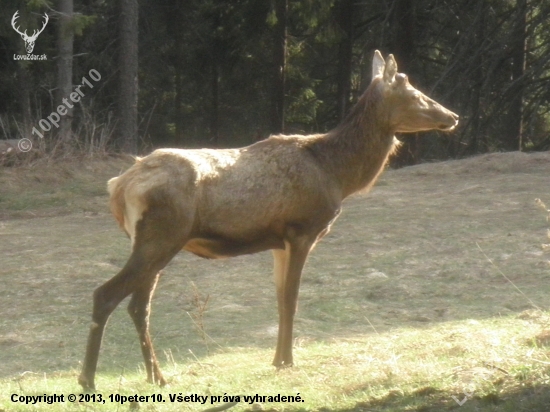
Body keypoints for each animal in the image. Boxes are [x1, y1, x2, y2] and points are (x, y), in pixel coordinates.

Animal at [78, 50, 462, 390]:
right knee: (106, 294)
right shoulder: (302, 229)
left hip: (153, 241)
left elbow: (278, 298)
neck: (337, 175)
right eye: (413, 92)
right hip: (161, 236)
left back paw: (156, 377)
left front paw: (277, 359)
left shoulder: (278, 242)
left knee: (138, 306)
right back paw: (88, 380)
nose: (453, 115)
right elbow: (291, 298)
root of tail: (118, 186)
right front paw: (288, 361)